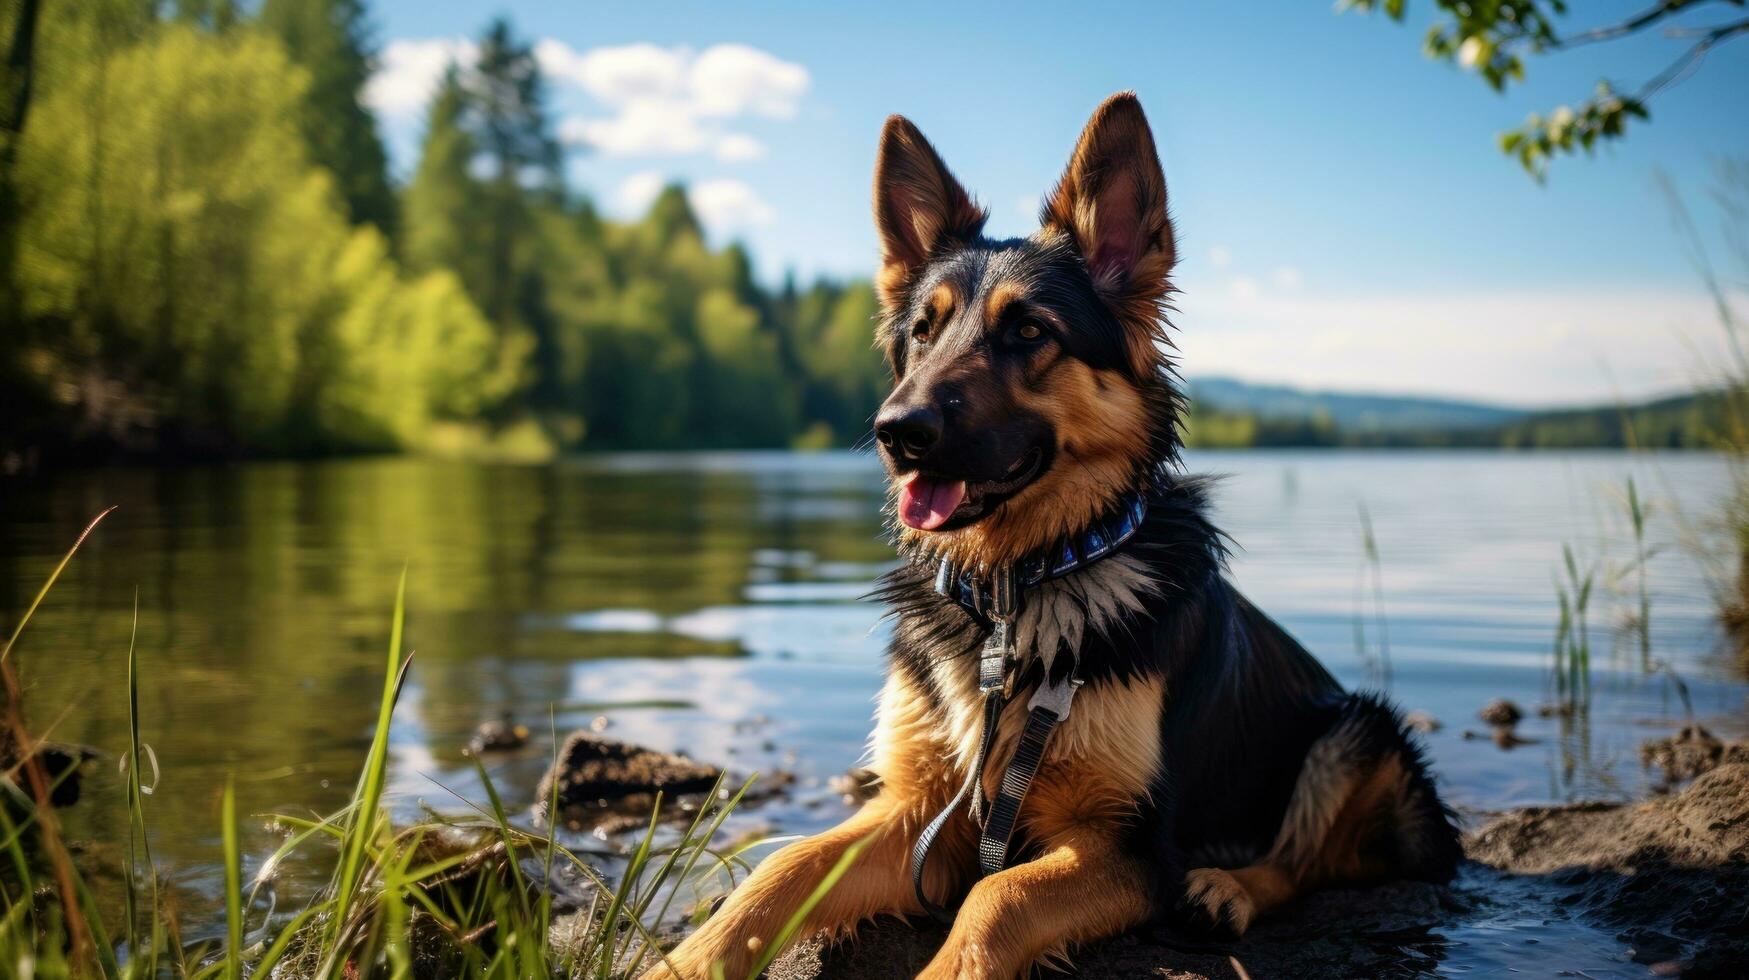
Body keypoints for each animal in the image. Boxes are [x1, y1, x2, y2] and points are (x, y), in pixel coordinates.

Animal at [650, 91, 1455, 980]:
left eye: (1029, 332)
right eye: (922, 332)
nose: (896, 432)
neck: (1016, 585)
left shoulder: (1127, 845)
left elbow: (997, 896)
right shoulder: (920, 810)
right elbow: (784, 868)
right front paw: (682, 963)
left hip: (1357, 733)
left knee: (1305, 861)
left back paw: (1226, 889)